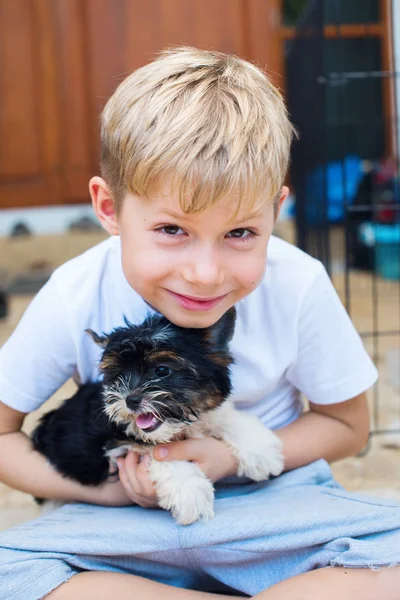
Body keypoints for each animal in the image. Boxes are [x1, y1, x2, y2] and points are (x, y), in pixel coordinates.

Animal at [32, 310, 282, 524]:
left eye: (162, 370)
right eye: (120, 375)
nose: (131, 400)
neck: (177, 428)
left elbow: (221, 417)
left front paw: (260, 450)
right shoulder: (116, 442)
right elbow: (152, 451)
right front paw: (190, 491)